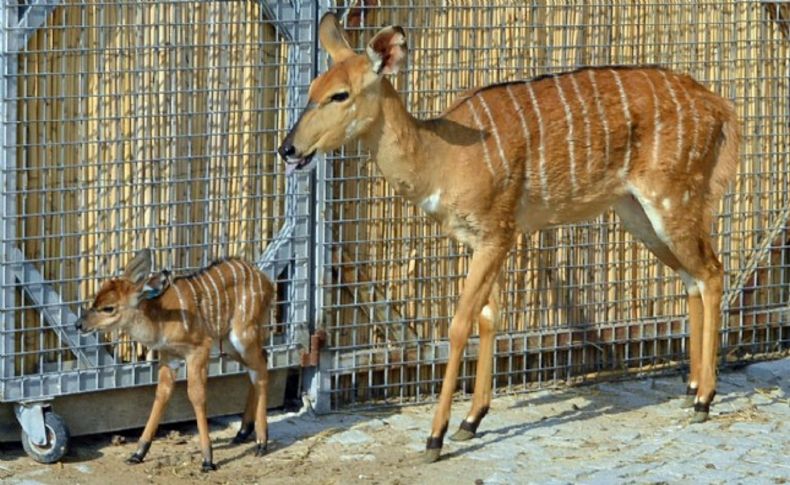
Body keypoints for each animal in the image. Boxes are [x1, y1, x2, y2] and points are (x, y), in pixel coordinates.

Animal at [76, 251, 276, 470]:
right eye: (95, 300)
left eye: (108, 308)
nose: (78, 324)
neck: (160, 320)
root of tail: (267, 282)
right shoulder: (168, 356)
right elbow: (162, 394)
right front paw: (137, 454)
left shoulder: (198, 350)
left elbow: (196, 395)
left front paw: (208, 460)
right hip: (228, 343)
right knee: (260, 362)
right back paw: (242, 432)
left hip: (243, 334)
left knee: (260, 369)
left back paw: (261, 443)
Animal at [284, 14, 744, 462]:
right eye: (311, 90)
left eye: (340, 95)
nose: (287, 149)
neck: (441, 159)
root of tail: (721, 108)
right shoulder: (483, 240)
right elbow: (490, 318)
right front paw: (471, 421)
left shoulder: (495, 236)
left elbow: (460, 325)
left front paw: (435, 437)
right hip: (638, 214)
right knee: (691, 279)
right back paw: (689, 388)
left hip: (672, 201)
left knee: (712, 272)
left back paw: (704, 399)